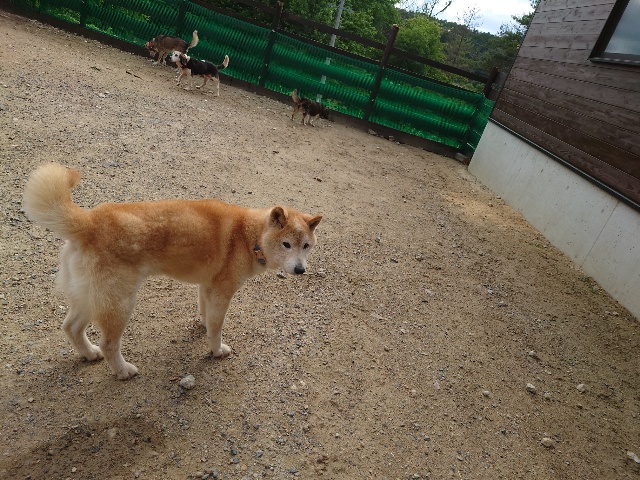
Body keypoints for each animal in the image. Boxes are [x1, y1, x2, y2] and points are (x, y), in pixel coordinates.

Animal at [23, 163, 322, 380]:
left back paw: (88, 353)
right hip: (119, 301)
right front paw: (216, 350)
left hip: (90, 295)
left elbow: (205, 314)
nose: (300, 269)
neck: (249, 236)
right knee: (109, 343)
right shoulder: (222, 291)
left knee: (71, 327)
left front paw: (202, 326)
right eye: (286, 244)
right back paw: (123, 371)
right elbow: (217, 327)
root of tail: (89, 221)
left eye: (306, 246)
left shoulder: (207, 286)